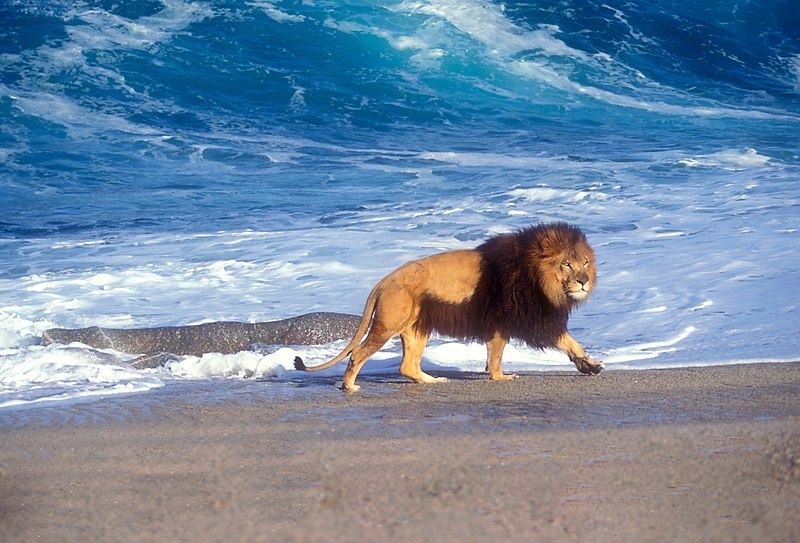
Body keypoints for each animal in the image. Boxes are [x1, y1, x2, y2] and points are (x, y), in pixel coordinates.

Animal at [294, 222, 603, 392]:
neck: (537, 276)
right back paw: (349, 386)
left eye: (586, 262)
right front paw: (501, 377)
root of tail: (383, 281)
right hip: (387, 324)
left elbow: (570, 344)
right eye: (566, 264)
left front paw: (590, 366)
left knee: (407, 365)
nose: (583, 281)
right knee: (357, 354)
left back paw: (432, 381)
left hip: (416, 329)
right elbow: (500, 358)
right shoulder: (518, 322)